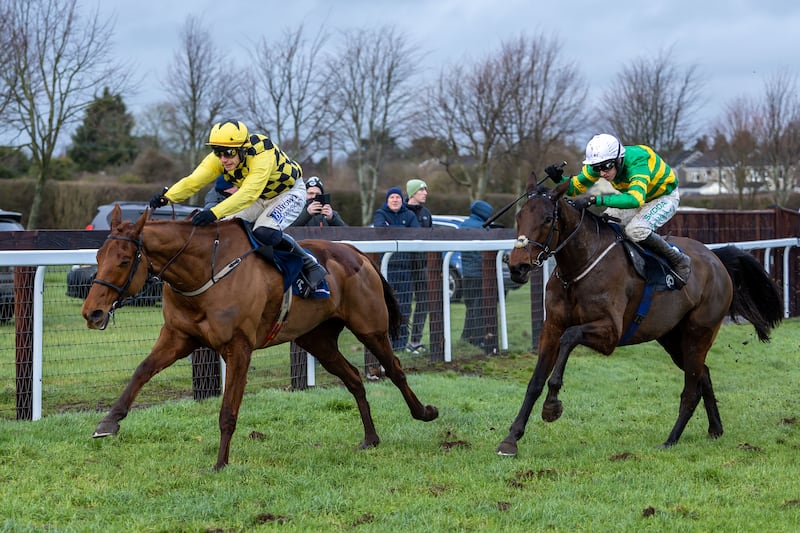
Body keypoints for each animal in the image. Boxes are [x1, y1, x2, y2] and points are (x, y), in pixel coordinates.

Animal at [81, 206, 438, 468]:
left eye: (123, 261)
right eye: (98, 256)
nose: (92, 312)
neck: (205, 271)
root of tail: (357, 253)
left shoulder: (239, 347)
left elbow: (228, 410)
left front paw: (220, 463)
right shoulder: (178, 336)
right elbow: (142, 370)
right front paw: (108, 423)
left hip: (370, 328)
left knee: (394, 370)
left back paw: (424, 413)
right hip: (317, 339)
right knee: (352, 378)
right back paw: (370, 438)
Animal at [496, 179, 784, 458]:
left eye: (547, 219)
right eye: (519, 216)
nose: (517, 266)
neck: (578, 268)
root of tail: (716, 259)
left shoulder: (610, 333)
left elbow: (570, 338)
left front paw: (552, 405)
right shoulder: (551, 327)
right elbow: (535, 382)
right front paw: (511, 439)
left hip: (699, 333)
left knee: (691, 389)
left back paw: (671, 440)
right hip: (672, 338)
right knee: (703, 373)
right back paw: (715, 428)